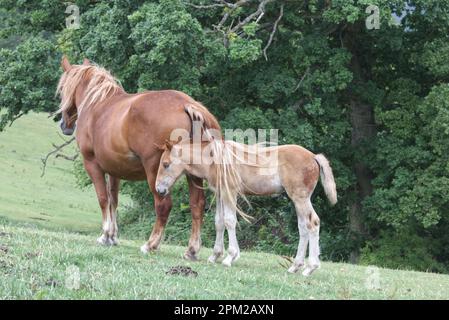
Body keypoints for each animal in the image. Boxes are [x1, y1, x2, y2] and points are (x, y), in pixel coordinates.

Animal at [55, 55, 220, 260]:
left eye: (62, 88)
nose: (64, 125)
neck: (97, 104)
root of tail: (187, 105)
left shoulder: (92, 164)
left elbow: (103, 198)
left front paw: (105, 235)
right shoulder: (114, 170)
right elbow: (113, 200)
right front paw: (112, 236)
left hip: (155, 172)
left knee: (164, 205)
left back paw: (151, 244)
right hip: (193, 174)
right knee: (197, 205)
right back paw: (191, 250)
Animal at [156, 141, 334, 276]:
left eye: (166, 164)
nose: (159, 190)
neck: (214, 160)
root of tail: (313, 156)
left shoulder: (230, 193)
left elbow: (230, 221)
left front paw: (230, 257)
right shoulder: (220, 194)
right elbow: (219, 222)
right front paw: (215, 256)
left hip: (300, 199)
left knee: (313, 223)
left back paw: (310, 268)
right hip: (298, 201)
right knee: (303, 227)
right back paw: (295, 266)